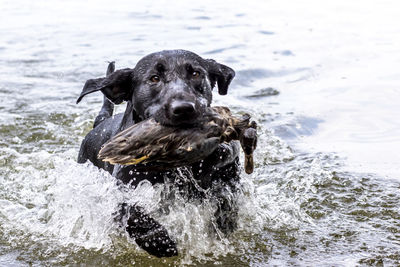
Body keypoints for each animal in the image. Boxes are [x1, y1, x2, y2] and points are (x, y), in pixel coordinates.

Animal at [76, 49, 252, 258]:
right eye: (154, 78)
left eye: (196, 73)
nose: (183, 108)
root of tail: (100, 123)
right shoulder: (121, 193)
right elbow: (133, 215)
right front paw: (160, 242)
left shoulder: (227, 175)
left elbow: (225, 198)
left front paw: (223, 222)